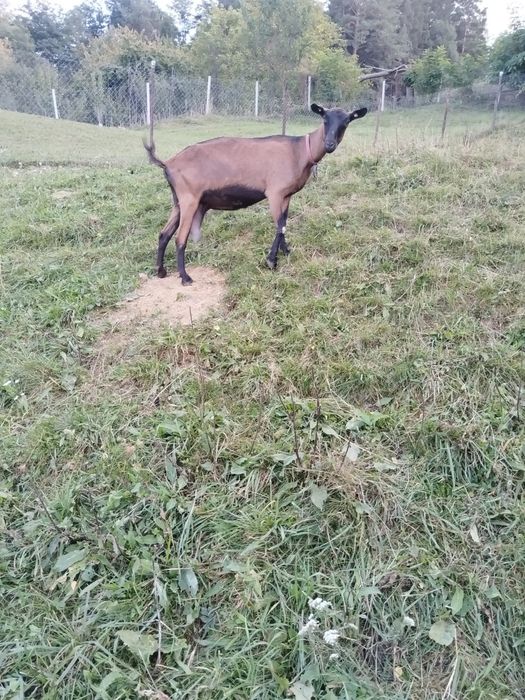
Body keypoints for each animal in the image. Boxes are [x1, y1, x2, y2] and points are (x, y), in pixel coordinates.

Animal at [144, 103, 367, 285]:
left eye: (346, 121)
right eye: (324, 118)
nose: (329, 144)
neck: (299, 151)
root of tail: (167, 163)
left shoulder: (286, 196)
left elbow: (283, 224)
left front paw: (286, 252)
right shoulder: (274, 192)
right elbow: (279, 226)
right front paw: (271, 261)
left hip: (178, 201)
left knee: (163, 234)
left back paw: (161, 271)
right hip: (189, 199)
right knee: (179, 238)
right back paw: (185, 277)